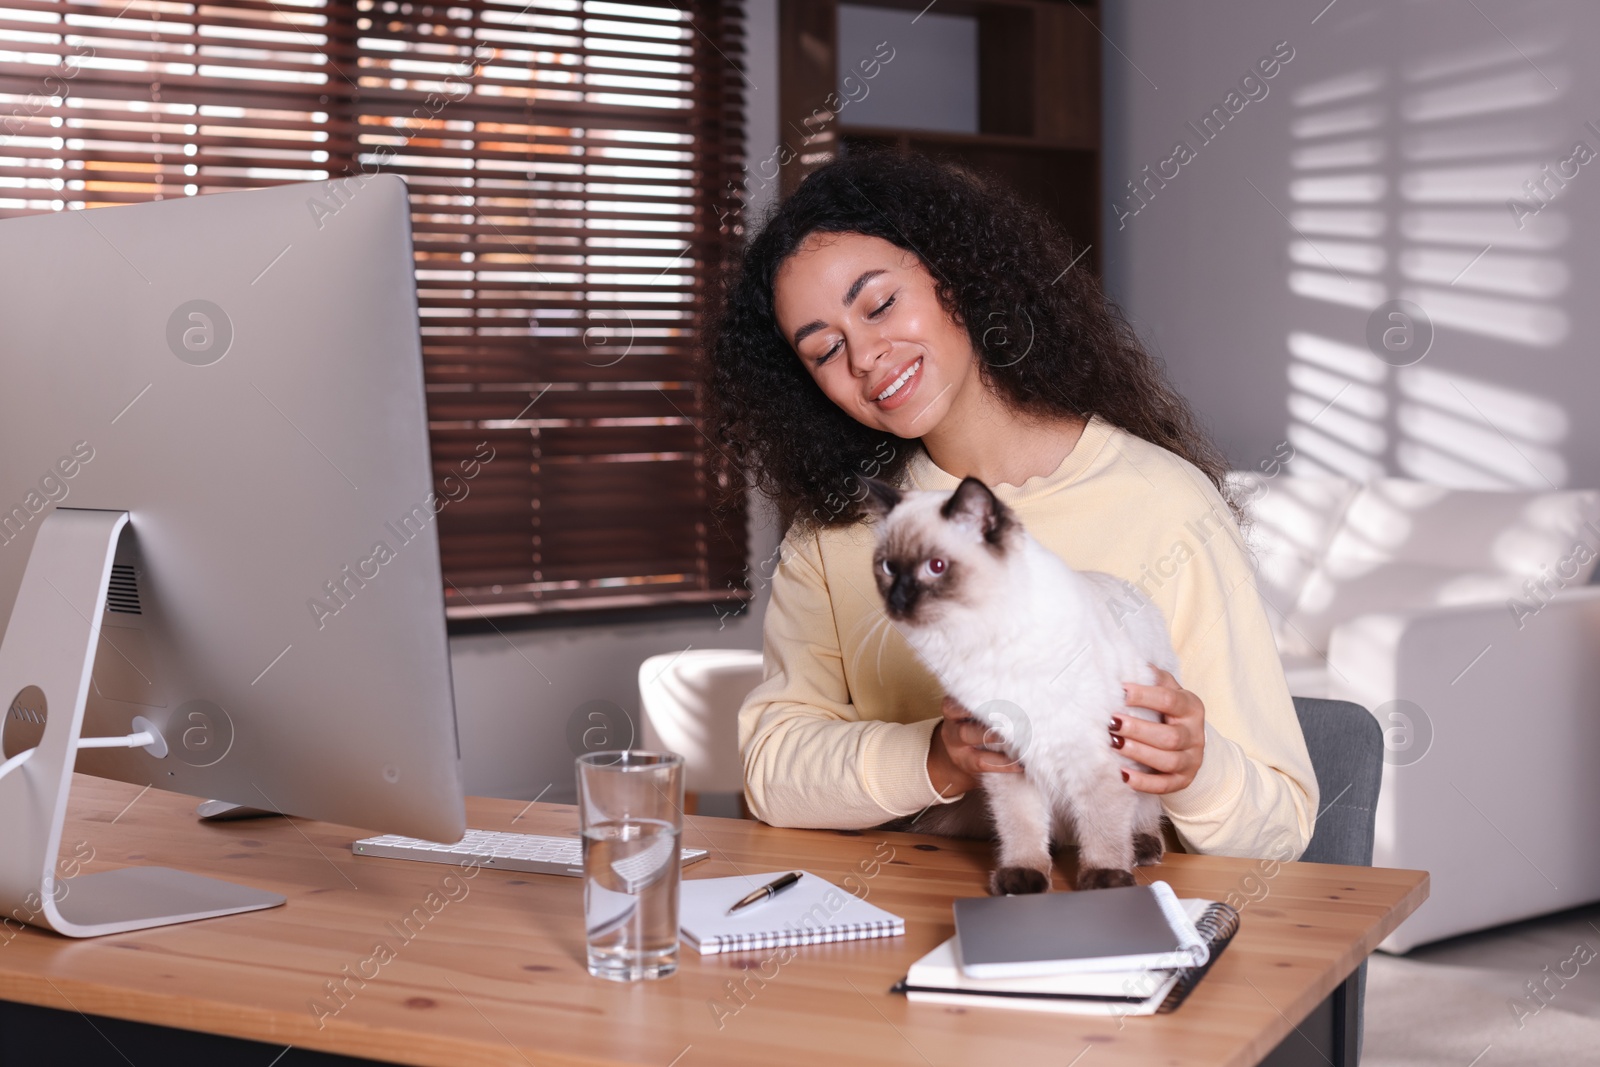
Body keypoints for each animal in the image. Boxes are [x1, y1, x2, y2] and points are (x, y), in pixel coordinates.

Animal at [864, 476, 1190, 895]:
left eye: (935, 567)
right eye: (888, 567)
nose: (898, 600)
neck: (982, 642)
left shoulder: (1094, 755)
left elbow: (1103, 822)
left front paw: (1105, 881)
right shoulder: (1006, 758)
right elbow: (1021, 825)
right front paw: (1023, 878)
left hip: (1143, 755)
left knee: (1143, 809)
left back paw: (1140, 849)